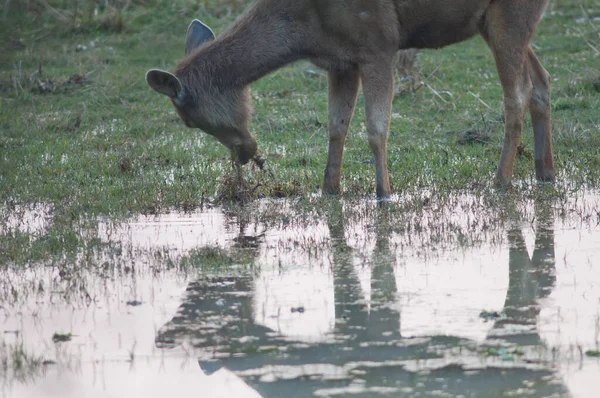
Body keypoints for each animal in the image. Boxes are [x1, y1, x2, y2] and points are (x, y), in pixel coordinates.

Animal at [148, 0, 556, 199]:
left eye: (188, 119)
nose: (245, 154)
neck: (304, 33)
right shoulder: (340, 60)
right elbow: (336, 126)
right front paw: (328, 190)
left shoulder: (378, 42)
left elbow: (375, 128)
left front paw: (384, 193)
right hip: (489, 22)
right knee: (541, 81)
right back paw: (545, 174)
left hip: (509, 14)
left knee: (516, 93)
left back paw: (501, 181)